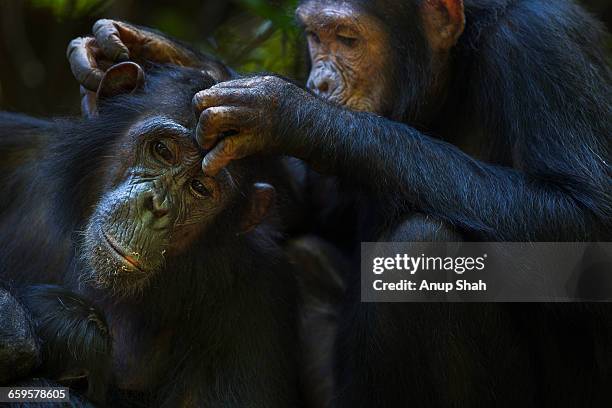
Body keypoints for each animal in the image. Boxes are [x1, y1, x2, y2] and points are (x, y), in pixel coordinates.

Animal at [63, 1, 612, 406]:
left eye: (348, 39)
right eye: (316, 36)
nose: (321, 82)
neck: (453, 69)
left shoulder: (543, 45)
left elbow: (584, 220)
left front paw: (288, 112)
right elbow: (312, 208)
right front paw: (164, 54)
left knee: (424, 246)